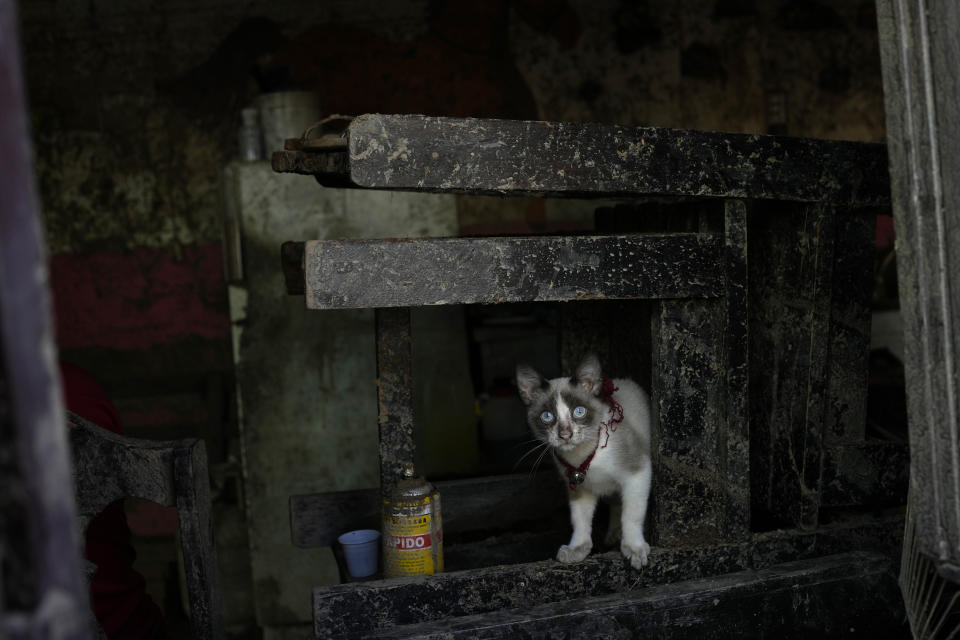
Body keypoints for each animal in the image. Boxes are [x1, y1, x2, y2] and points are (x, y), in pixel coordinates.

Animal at [516, 352, 652, 568]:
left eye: (579, 412)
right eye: (547, 416)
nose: (565, 435)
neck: (585, 456)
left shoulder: (638, 473)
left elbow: (632, 515)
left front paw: (634, 548)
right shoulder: (578, 485)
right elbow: (580, 521)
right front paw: (577, 549)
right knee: (615, 504)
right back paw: (613, 534)